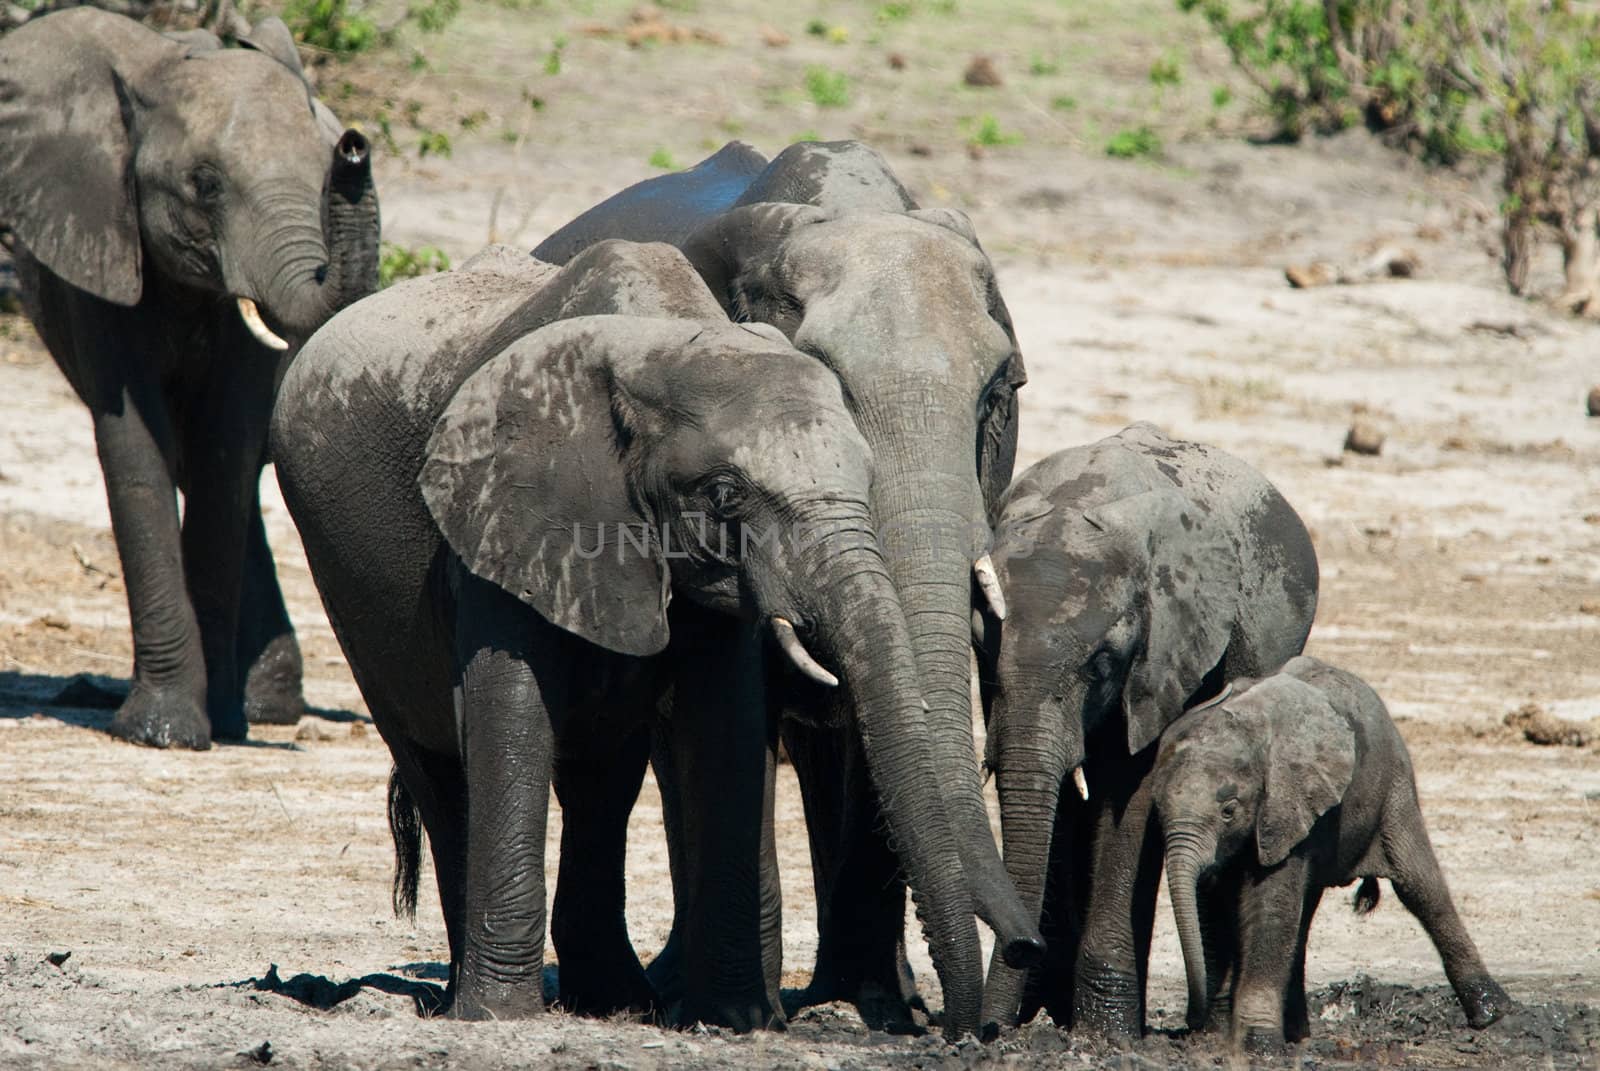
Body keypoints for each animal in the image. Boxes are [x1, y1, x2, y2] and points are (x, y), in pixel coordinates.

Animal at [0, 10, 379, 742]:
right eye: (205, 184)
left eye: (325, 170)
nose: (354, 149)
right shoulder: (99, 244)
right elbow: (135, 447)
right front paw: (161, 731)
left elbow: (223, 453)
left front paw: (215, 725)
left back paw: (262, 710)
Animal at [268, 244, 979, 1037]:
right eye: (725, 495)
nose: (958, 1029)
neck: (656, 348)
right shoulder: (500, 513)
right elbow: (511, 712)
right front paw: (500, 1020)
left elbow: (725, 727)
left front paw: (733, 1018)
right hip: (347, 590)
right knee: (439, 770)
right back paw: (469, 1001)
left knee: (600, 778)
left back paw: (612, 1000)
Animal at [1158, 656, 1504, 1050]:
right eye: (1158, 809)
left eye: (1229, 811)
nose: (1190, 1022)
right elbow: (1219, 904)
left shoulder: (1285, 806)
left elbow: (1270, 907)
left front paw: (1260, 1046)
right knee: (1304, 917)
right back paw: (1297, 1034)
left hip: (1393, 783)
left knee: (1420, 887)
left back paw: (1492, 1014)